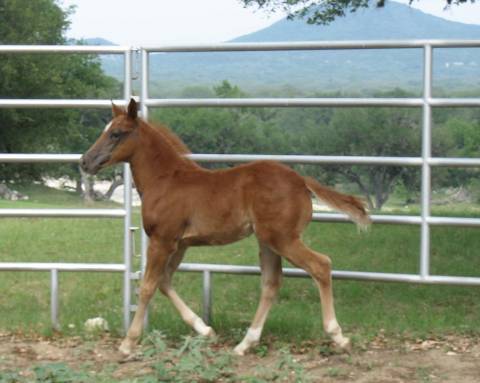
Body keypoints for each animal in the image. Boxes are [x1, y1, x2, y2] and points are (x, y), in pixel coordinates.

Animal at [80, 99, 370, 356]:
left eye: (116, 134)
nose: (85, 161)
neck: (165, 180)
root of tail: (301, 181)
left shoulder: (162, 240)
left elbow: (148, 286)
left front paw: (128, 343)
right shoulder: (179, 244)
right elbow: (164, 281)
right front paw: (206, 330)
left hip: (283, 238)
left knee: (321, 265)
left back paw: (338, 336)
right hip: (267, 241)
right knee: (271, 283)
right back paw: (244, 344)